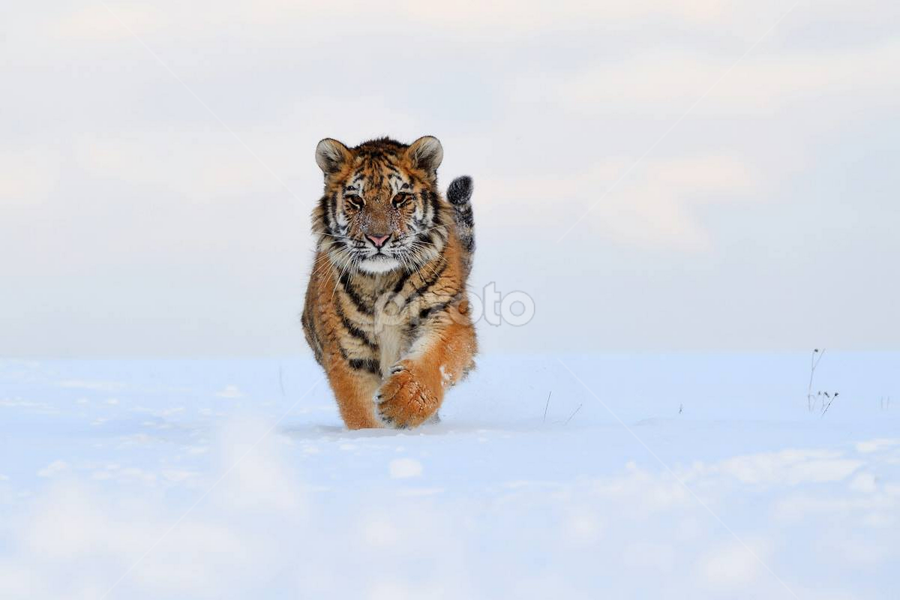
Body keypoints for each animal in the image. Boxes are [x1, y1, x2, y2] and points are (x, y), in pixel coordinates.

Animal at [301, 136, 477, 429]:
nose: (378, 238)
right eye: (356, 200)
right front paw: (374, 434)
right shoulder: (347, 353)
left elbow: (433, 361)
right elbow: (359, 411)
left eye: (400, 198)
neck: (381, 281)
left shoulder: (448, 317)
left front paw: (402, 404)